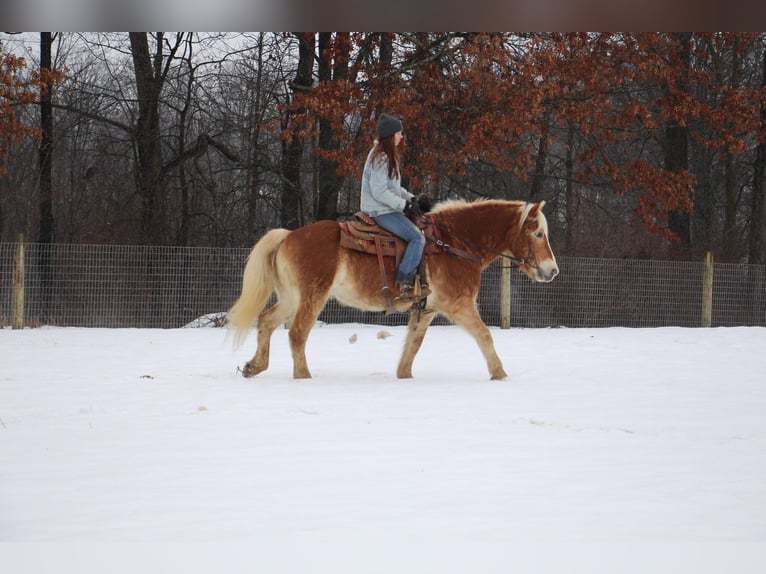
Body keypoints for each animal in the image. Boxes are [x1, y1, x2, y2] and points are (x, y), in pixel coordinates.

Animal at [226, 200, 560, 380]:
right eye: (538, 233)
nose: (552, 270)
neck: (454, 243)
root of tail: (289, 235)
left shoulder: (427, 309)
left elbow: (413, 344)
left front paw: (404, 376)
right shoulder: (460, 306)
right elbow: (485, 335)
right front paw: (500, 374)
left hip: (291, 298)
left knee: (267, 321)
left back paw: (255, 366)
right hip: (311, 297)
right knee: (297, 334)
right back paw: (303, 376)